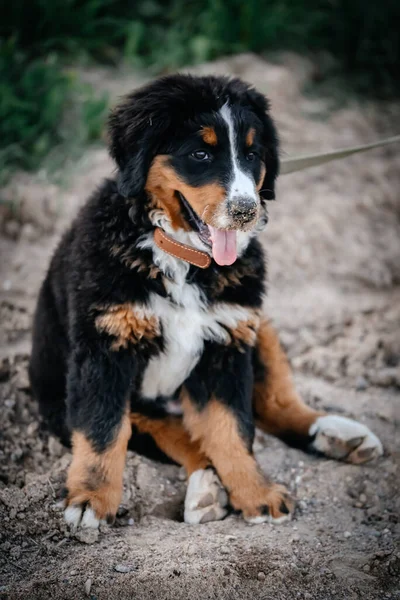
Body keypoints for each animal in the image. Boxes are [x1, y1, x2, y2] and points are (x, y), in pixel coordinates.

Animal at [28, 74, 382, 528]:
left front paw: (257, 493)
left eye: (252, 154)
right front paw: (90, 500)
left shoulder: (225, 344)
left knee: (271, 403)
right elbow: (103, 430)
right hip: (79, 401)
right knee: (170, 431)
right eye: (200, 154)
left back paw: (336, 435)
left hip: (258, 325)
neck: (183, 257)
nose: (246, 210)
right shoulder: (105, 347)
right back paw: (207, 489)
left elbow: (232, 428)